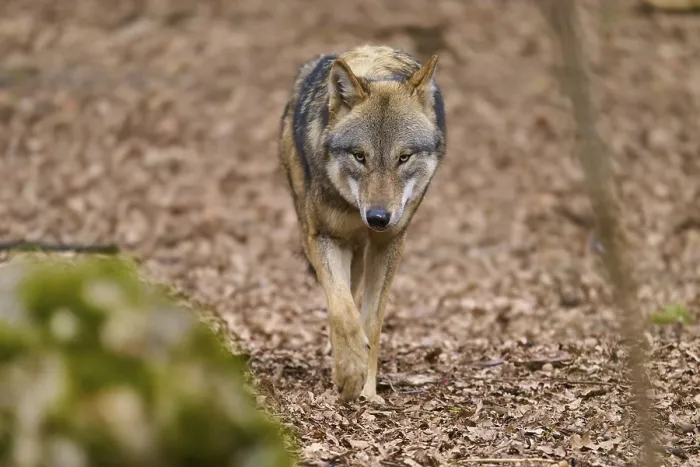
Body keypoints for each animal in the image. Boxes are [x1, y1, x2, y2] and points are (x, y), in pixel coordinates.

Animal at [278, 45, 446, 403]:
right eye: (360, 156)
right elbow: (342, 310)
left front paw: (367, 389)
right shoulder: (324, 236)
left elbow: (371, 321)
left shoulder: (390, 243)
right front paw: (350, 373)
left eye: (403, 157)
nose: (378, 218)